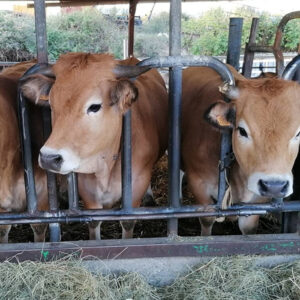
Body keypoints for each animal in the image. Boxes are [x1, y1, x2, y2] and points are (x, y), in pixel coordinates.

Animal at [19, 52, 168, 239]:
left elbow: (127, 223)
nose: (48, 158)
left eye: (95, 106)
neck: (106, 166)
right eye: (52, 105)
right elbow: (94, 222)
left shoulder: (136, 187)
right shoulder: (88, 190)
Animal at [182, 67, 300, 236]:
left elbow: (248, 227)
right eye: (242, 131)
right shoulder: (199, 185)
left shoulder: (256, 200)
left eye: (298, 133)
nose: (274, 186)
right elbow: (207, 219)